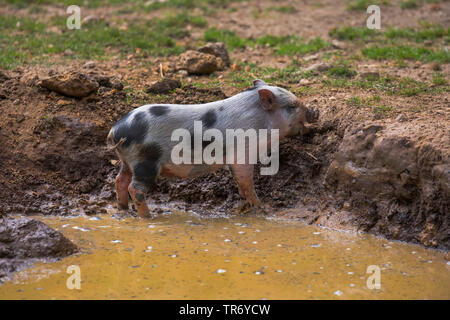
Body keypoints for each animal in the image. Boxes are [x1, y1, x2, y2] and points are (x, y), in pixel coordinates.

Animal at [107, 79, 318, 218]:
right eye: (293, 105)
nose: (315, 111)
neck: (259, 120)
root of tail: (115, 130)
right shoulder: (243, 153)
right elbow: (246, 180)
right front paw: (262, 207)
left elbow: (240, 181)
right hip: (145, 161)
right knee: (135, 188)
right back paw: (148, 217)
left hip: (127, 160)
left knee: (120, 180)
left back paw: (123, 210)